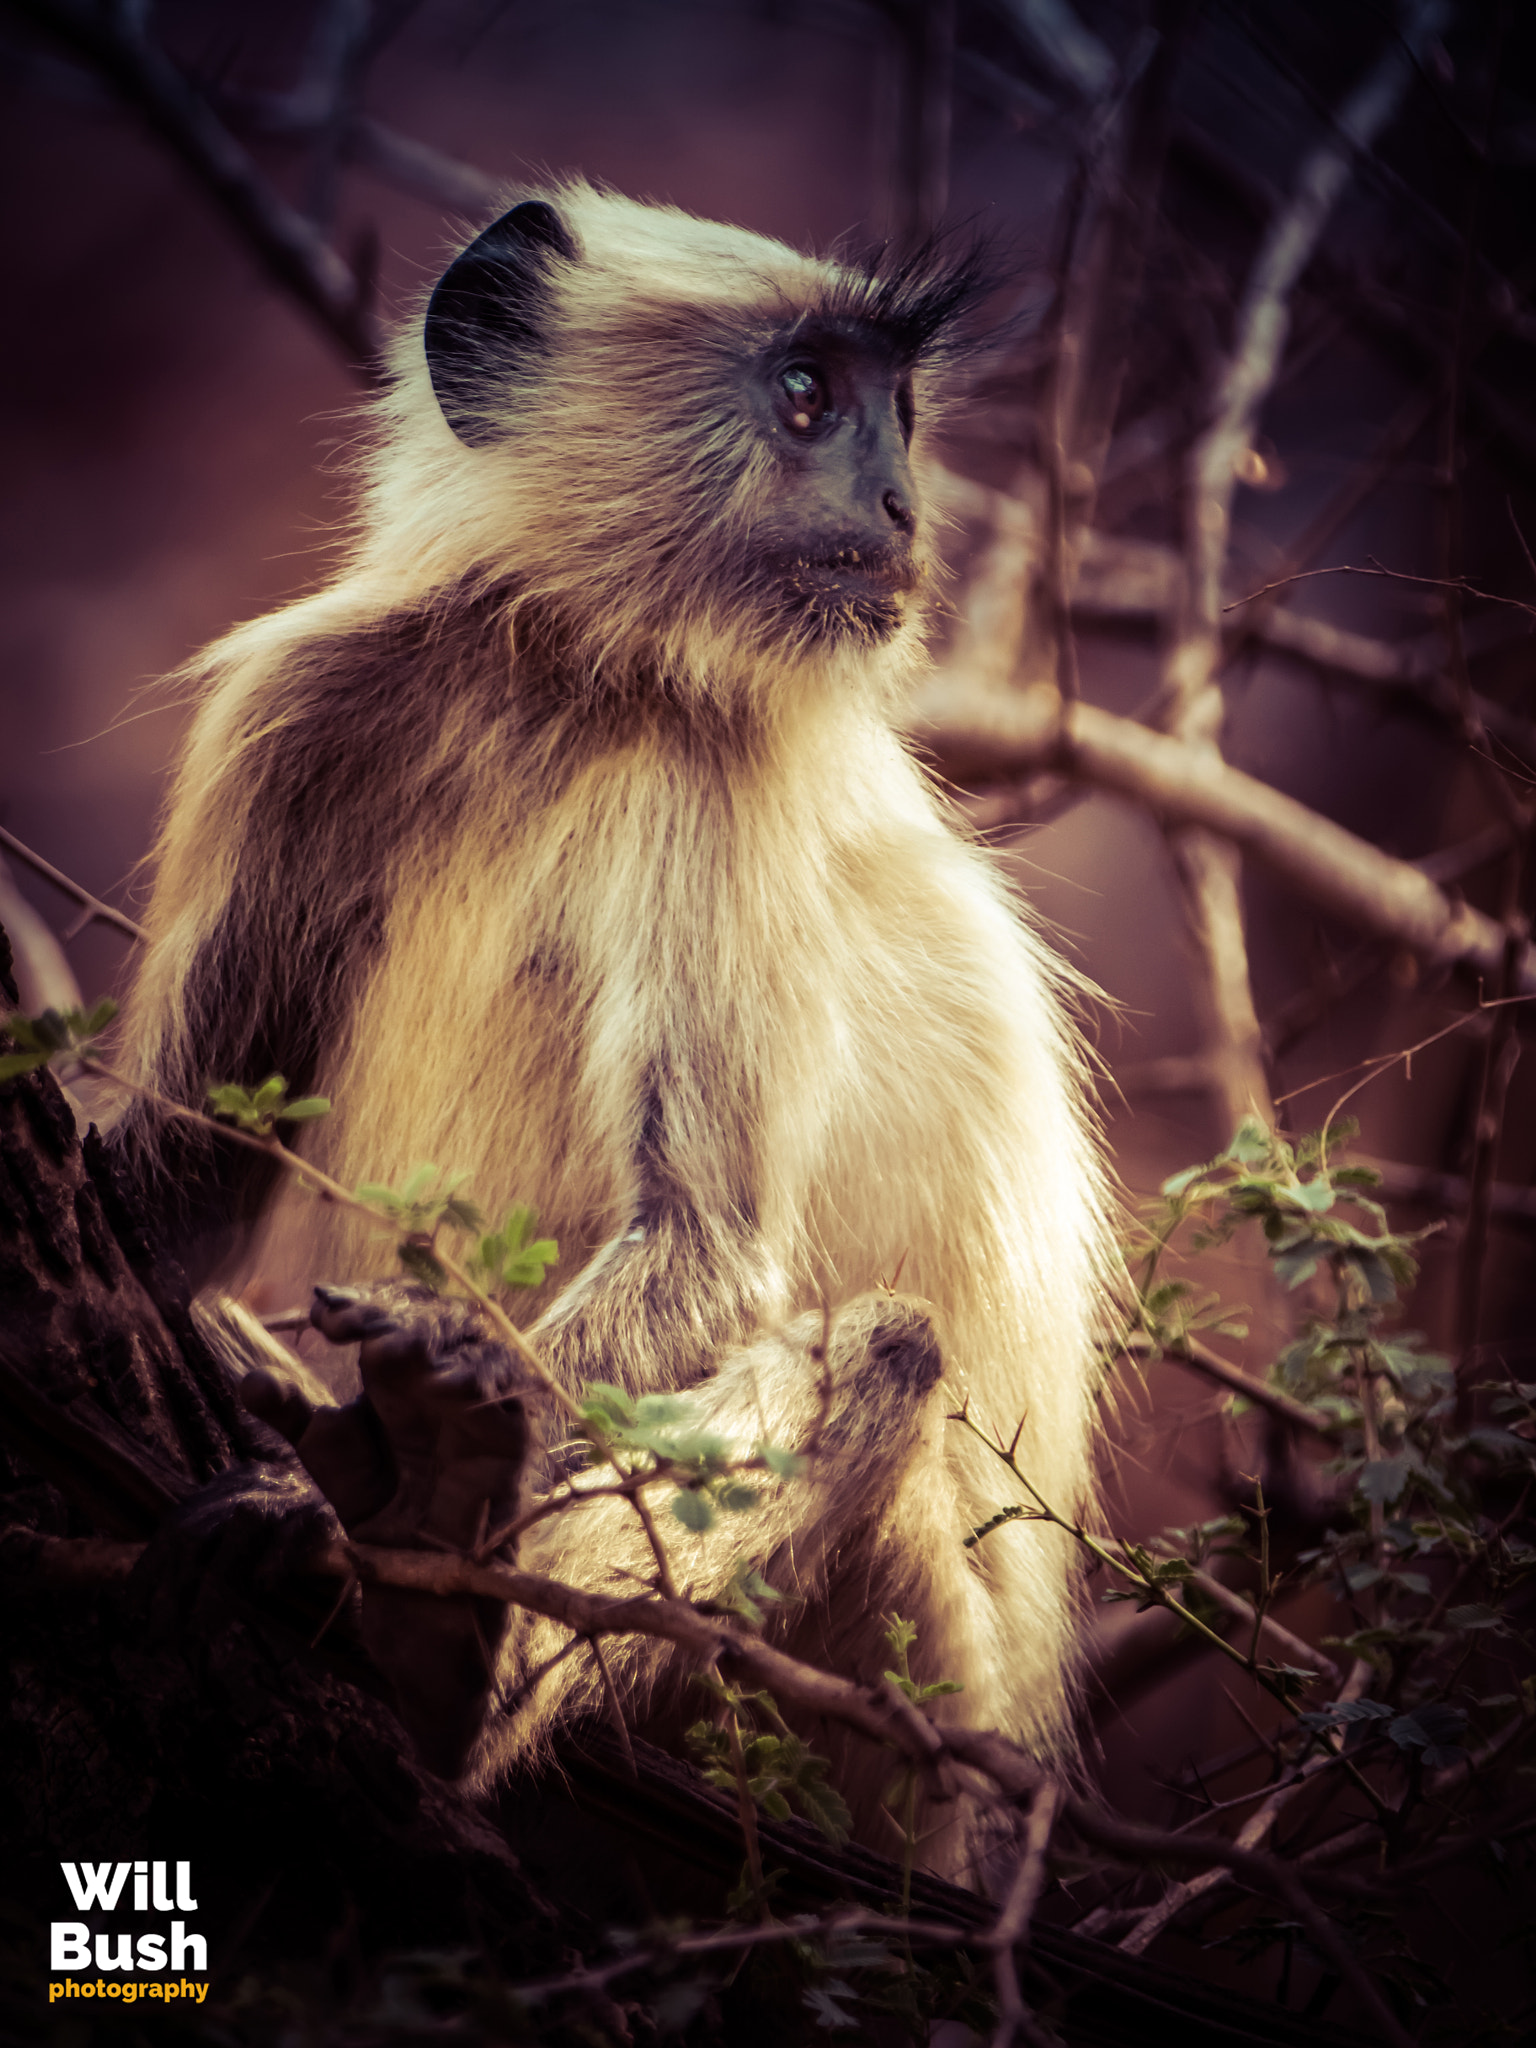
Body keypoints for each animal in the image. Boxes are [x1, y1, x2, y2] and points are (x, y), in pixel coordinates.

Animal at [111, 180, 1122, 1875]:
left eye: (896, 408)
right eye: (808, 397)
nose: (903, 501)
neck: (563, 674)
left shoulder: (724, 773)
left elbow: (703, 1245)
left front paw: (335, 1509)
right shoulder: (312, 704)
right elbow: (174, 1183)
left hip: (905, 1690)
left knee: (889, 1355)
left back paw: (437, 1627)